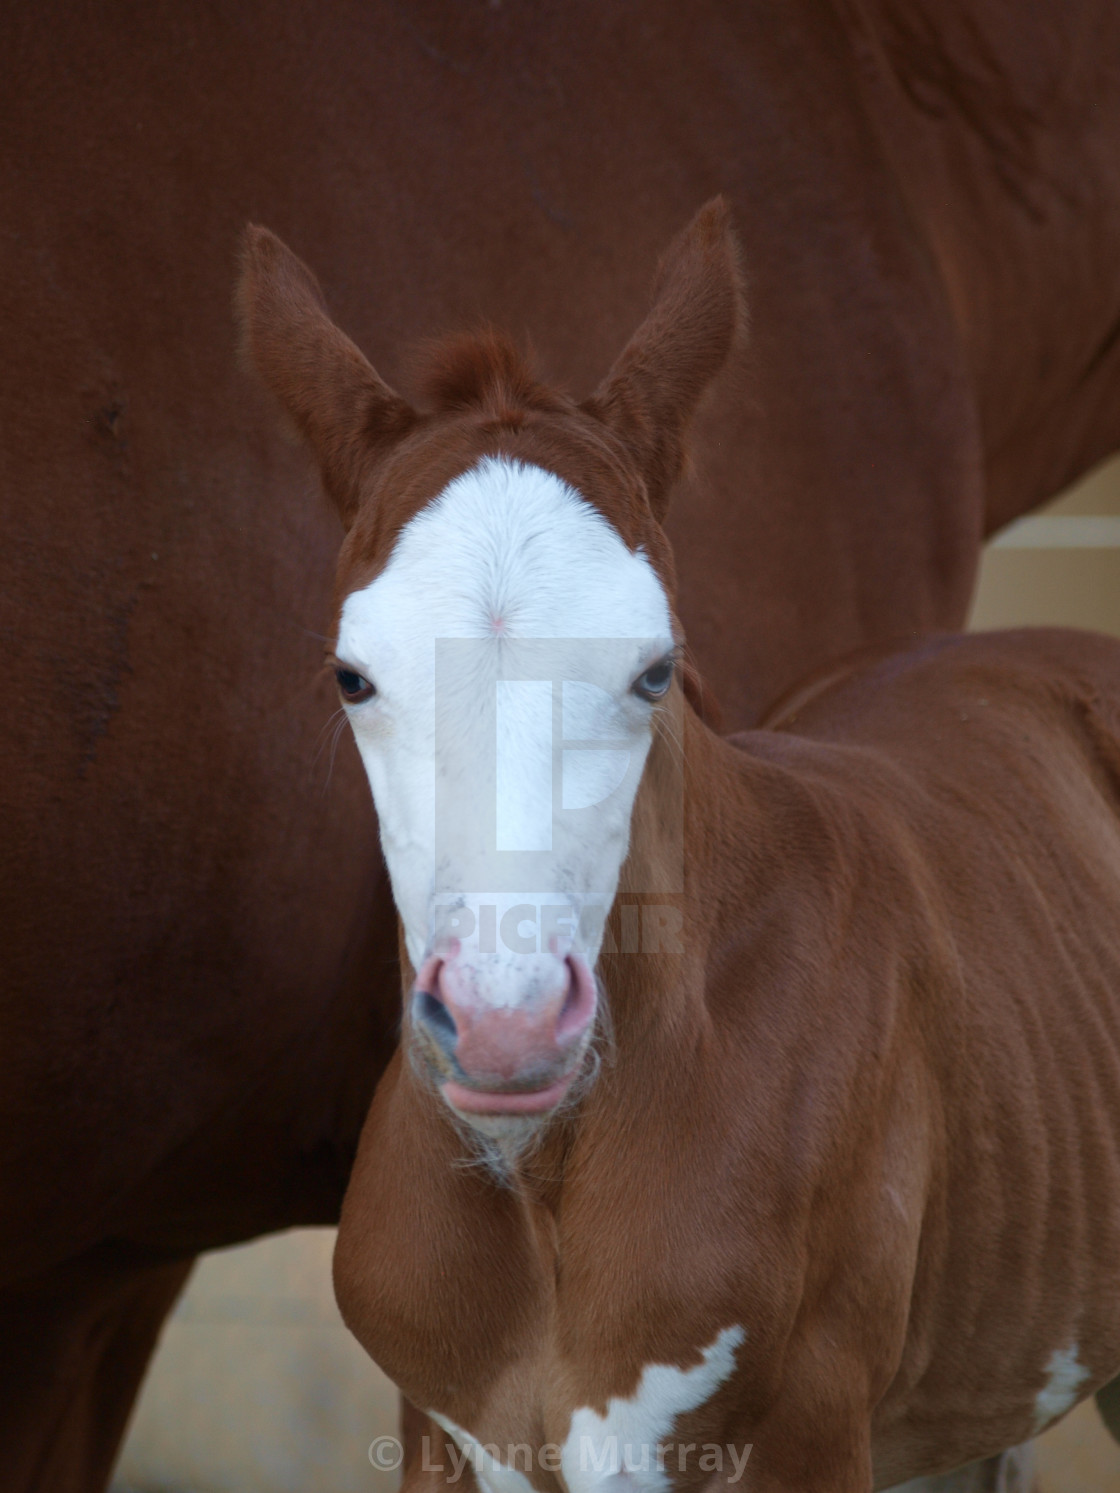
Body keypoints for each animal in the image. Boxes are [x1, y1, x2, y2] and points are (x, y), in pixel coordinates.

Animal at [238, 210, 1120, 1493]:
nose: (504, 1024)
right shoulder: (442, 1432)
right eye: (352, 677)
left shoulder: (806, 1425)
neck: (544, 1177)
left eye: (655, 671)